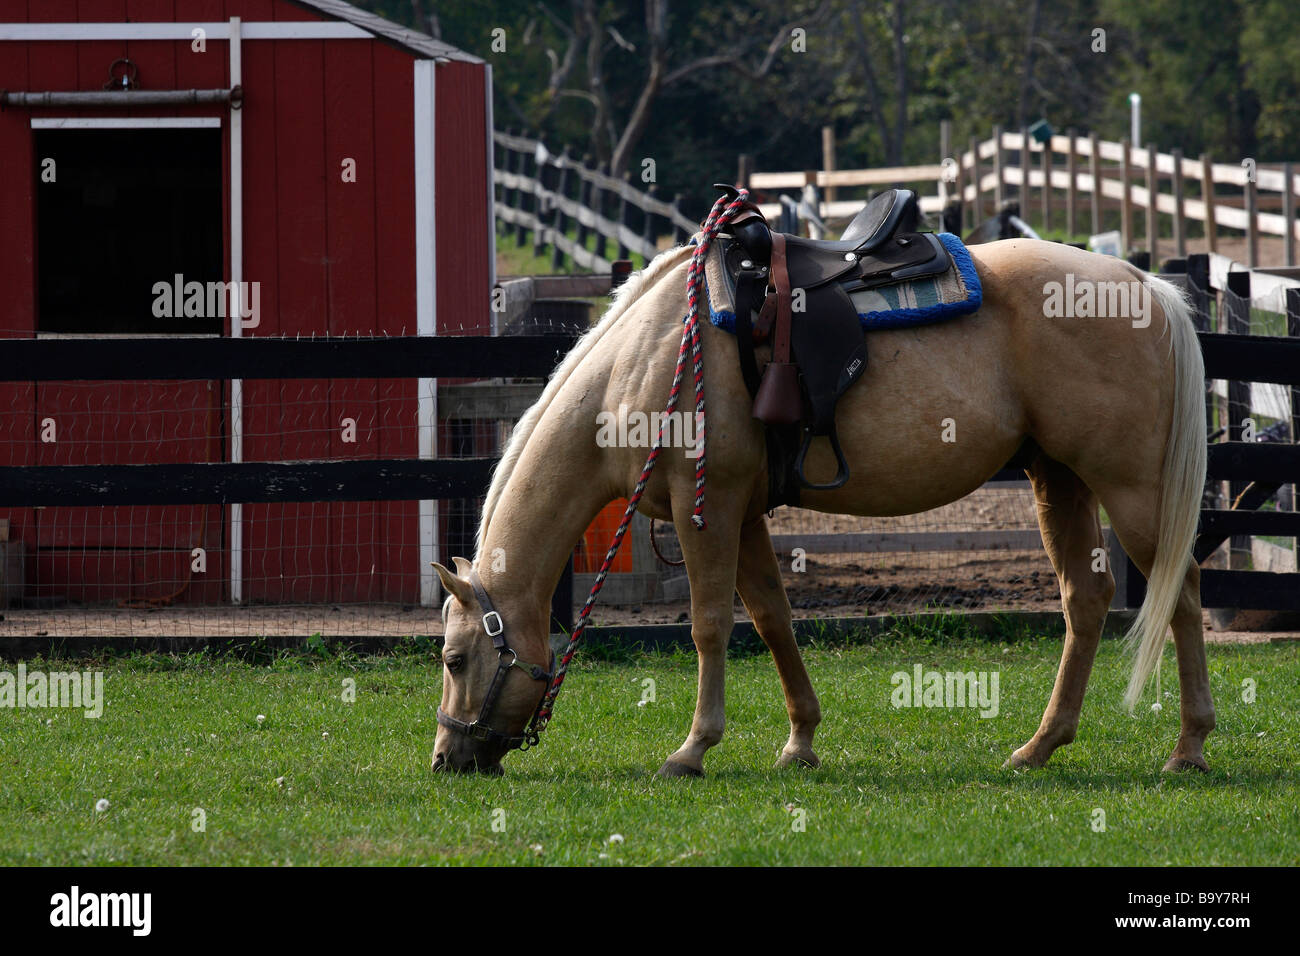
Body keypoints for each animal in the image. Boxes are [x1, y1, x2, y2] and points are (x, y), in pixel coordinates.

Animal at [431, 239, 1211, 780]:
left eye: (455, 658)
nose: (447, 758)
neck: (648, 357)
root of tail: (1144, 285)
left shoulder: (705, 510)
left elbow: (709, 626)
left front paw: (692, 749)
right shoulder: (743, 514)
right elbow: (772, 620)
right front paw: (800, 741)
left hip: (1130, 490)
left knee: (1180, 595)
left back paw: (1188, 748)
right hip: (1059, 479)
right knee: (1086, 599)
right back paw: (1040, 746)